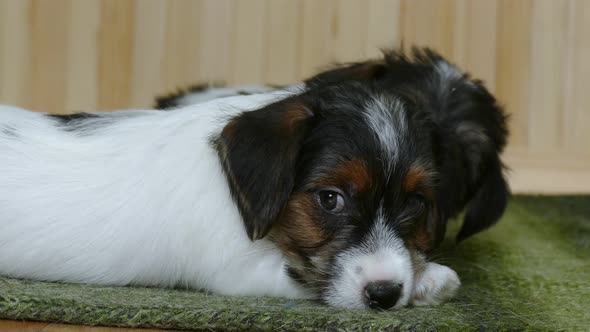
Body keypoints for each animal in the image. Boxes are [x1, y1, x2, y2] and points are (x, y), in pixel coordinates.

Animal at [0, 48, 508, 310]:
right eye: (330, 199)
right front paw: (433, 280)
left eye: (416, 203)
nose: (385, 294)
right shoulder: (240, 269)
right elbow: (312, 279)